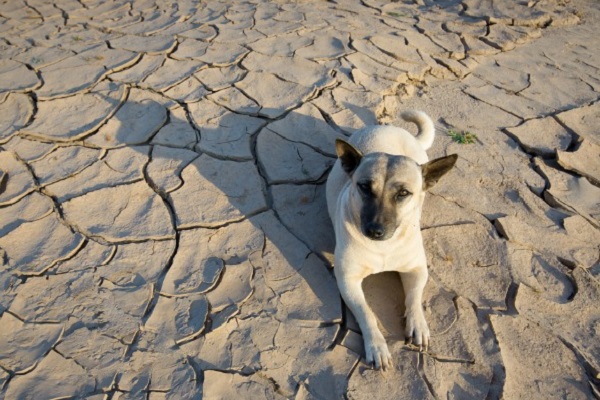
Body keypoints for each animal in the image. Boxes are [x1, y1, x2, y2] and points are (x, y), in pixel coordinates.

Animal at [326, 111, 458, 370]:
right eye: (365, 187)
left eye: (403, 194)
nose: (374, 230)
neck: (383, 247)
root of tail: (391, 128)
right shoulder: (347, 280)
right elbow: (367, 313)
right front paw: (377, 346)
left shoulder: (416, 269)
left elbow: (414, 297)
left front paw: (418, 324)